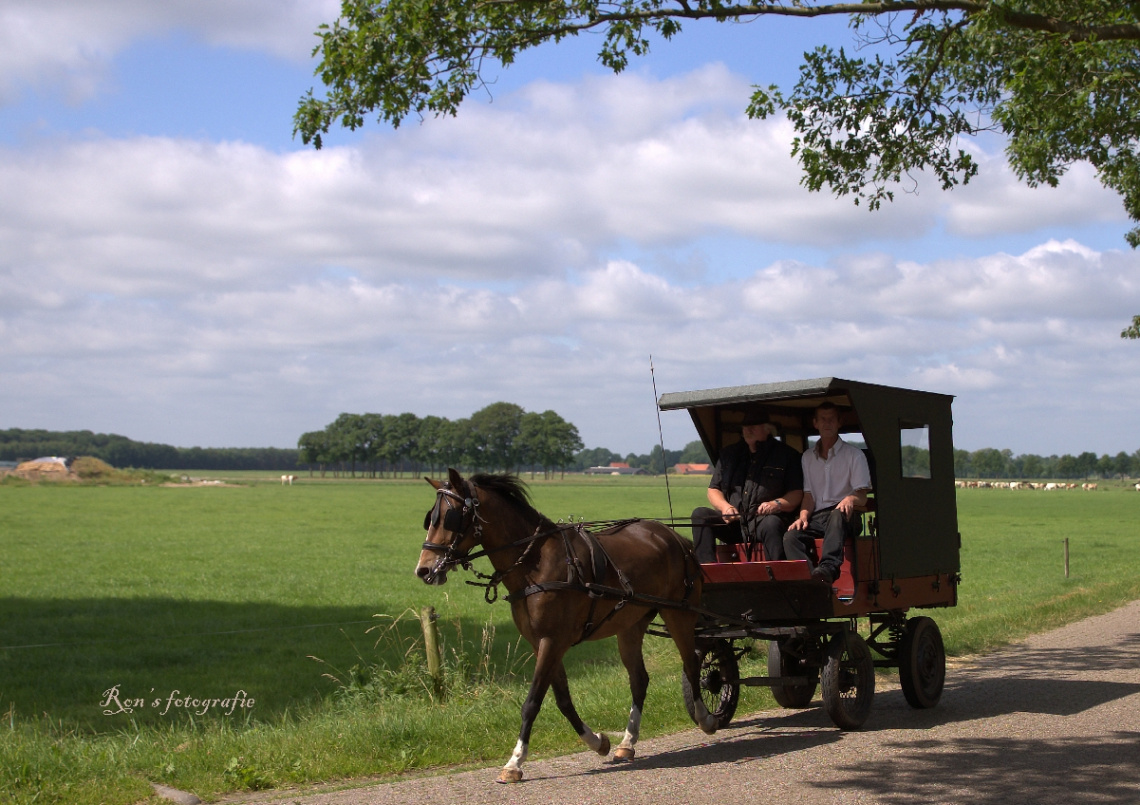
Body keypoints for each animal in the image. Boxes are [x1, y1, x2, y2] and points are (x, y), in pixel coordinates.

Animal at [414, 467, 715, 779]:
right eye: (430, 517)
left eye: (449, 517)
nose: (424, 569)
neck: (534, 564)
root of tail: (675, 537)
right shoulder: (542, 643)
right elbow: (562, 700)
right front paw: (598, 742)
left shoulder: (552, 641)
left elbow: (532, 701)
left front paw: (515, 762)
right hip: (630, 625)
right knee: (639, 679)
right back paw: (627, 743)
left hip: (679, 615)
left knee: (691, 664)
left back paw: (705, 718)